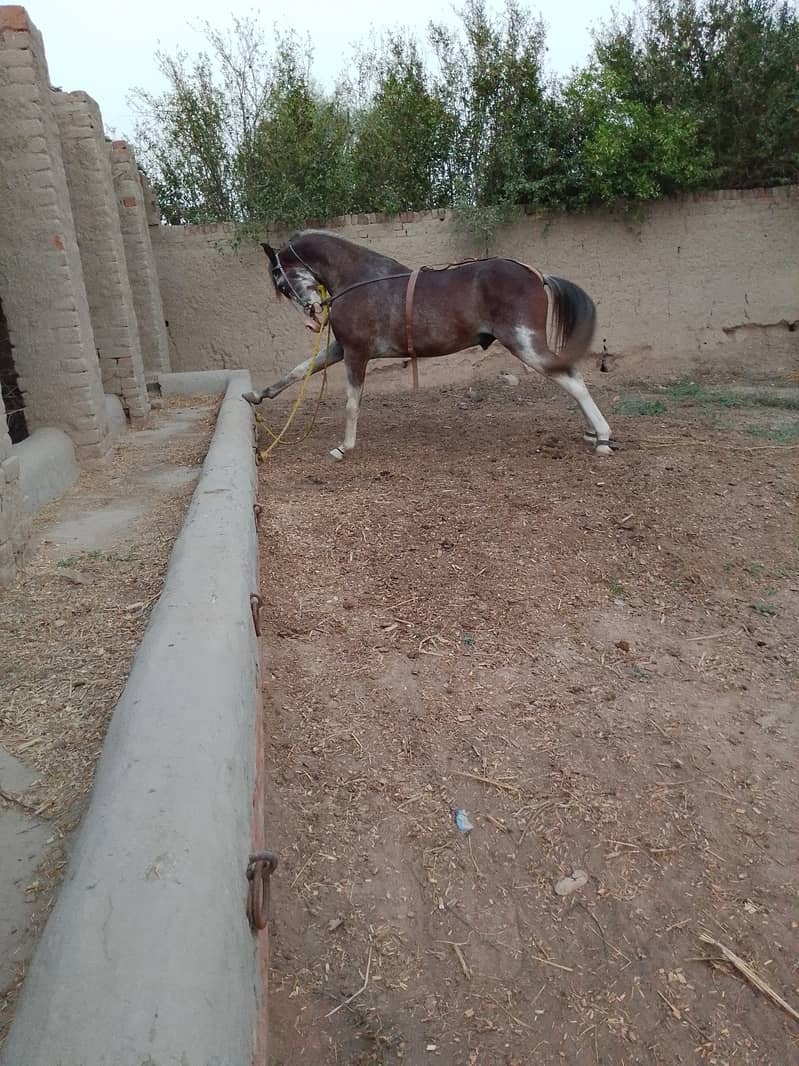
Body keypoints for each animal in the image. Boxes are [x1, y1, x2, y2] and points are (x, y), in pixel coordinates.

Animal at [242, 230, 613, 459]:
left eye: (280, 280)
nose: (312, 319)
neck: (361, 279)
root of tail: (537, 275)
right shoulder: (341, 349)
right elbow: (299, 370)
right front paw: (256, 395)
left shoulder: (356, 354)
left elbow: (351, 401)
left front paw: (344, 447)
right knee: (571, 377)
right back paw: (593, 433)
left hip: (525, 344)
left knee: (573, 379)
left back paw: (603, 437)